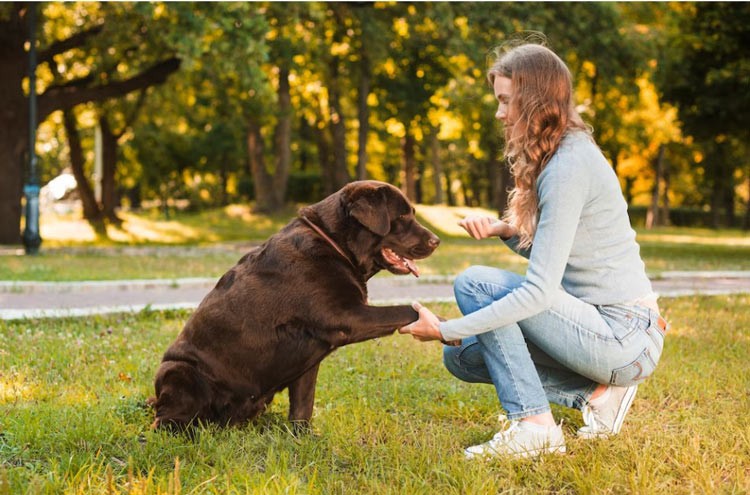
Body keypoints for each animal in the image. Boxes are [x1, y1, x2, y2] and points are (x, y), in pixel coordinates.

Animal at [151, 180, 440, 432]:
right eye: (401, 217)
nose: (436, 240)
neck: (335, 245)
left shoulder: (310, 355)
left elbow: (303, 404)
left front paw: (303, 437)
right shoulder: (346, 316)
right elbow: (404, 309)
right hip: (179, 370)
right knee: (165, 421)